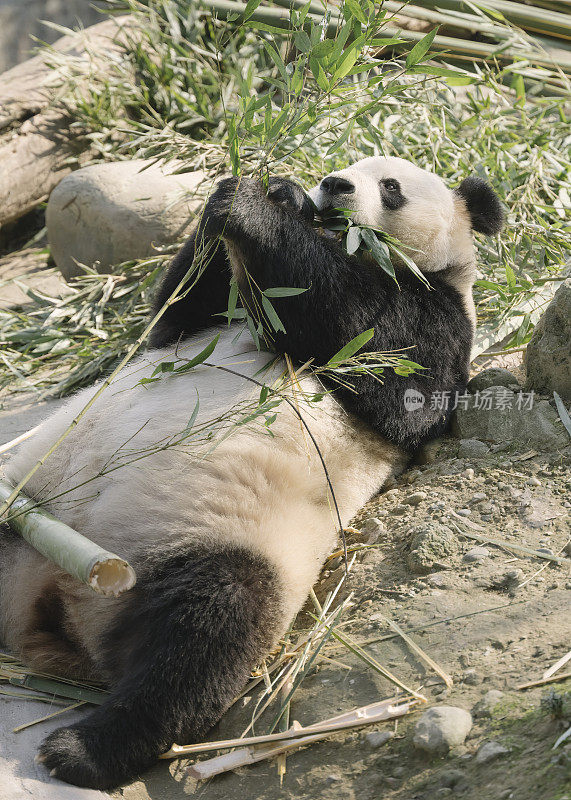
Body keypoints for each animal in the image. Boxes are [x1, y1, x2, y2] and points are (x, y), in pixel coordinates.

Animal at [0, 156, 500, 788]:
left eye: (391, 188)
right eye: (344, 165)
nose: (334, 186)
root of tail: (49, 597)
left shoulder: (440, 323)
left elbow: (385, 359)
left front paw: (254, 208)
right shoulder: (213, 318)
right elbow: (176, 313)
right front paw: (272, 189)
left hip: (211, 542)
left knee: (206, 631)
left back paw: (84, 749)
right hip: (21, 504)